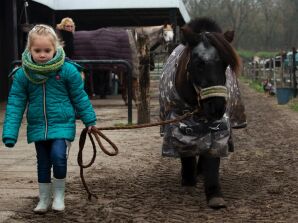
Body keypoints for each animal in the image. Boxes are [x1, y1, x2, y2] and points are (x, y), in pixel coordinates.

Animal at [159, 17, 241, 209]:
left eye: (225, 64)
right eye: (199, 64)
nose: (217, 107)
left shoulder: (219, 124)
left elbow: (213, 155)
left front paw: (214, 194)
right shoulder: (177, 121)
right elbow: (185, 150)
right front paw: (188, 181)